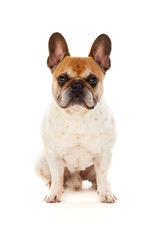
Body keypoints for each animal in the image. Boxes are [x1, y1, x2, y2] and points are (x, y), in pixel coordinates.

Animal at [35, 32, 117, 202]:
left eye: (93, 80)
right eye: (62, 78)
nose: (77, 85)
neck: (77, 115)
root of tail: (76, 178)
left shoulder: (104, 154)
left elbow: (103, 174)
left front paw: (106, 193)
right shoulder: (53, 156)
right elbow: (57, 176)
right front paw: (54, 193)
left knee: (97, 178)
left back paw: (98, 186)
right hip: (41, 160)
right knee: (54, 178)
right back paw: (53, 186)